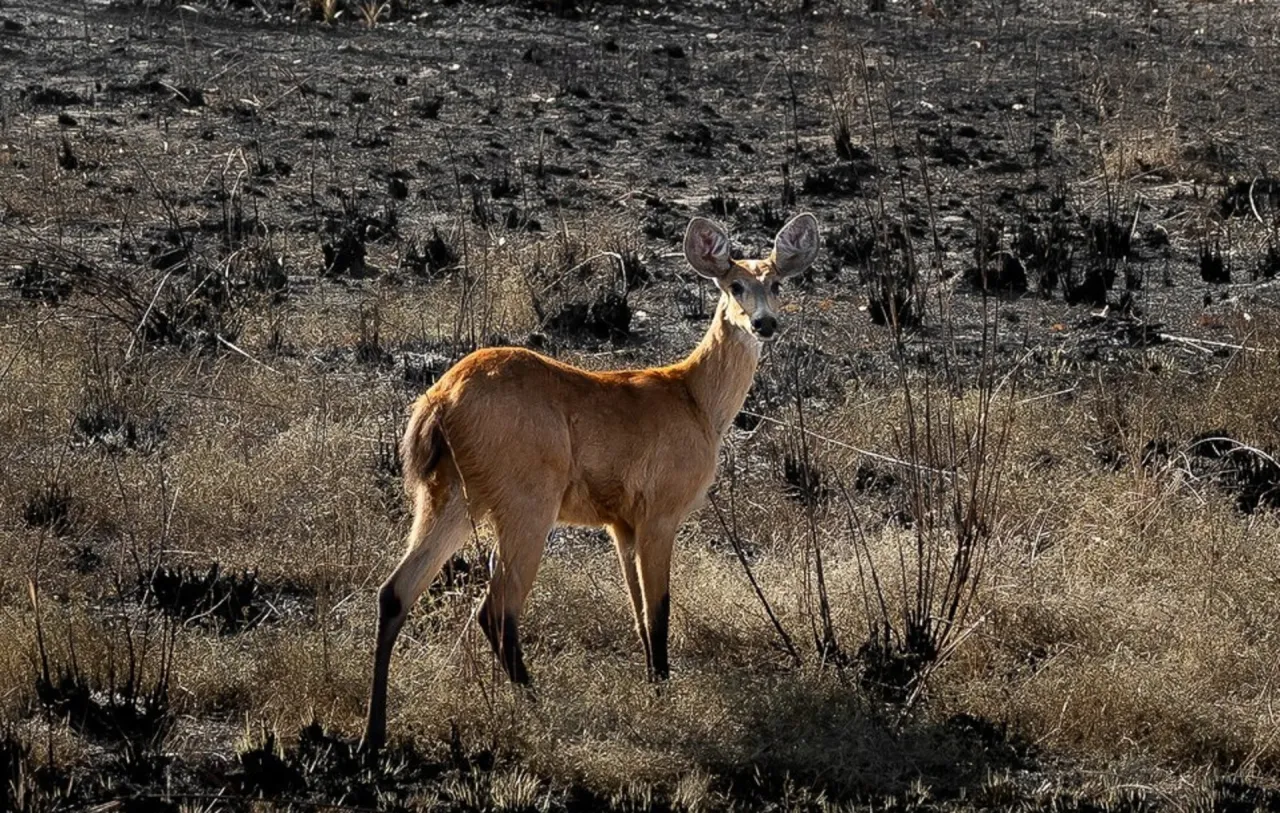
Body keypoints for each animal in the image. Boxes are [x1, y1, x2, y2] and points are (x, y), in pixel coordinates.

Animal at [360, 209, 819, 752]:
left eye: (776, 283)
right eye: (734, 285)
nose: (764, 323)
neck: (695, 401)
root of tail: (441, 399)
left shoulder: (621, 523)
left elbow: (639, 615)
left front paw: (653, 685)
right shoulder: (661, 511)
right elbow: (660, 612)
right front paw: (662, 695)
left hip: (448, 497)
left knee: (395, 590)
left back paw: (373, 737)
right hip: (526, 500)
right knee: (495, 608)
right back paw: (539, 709)